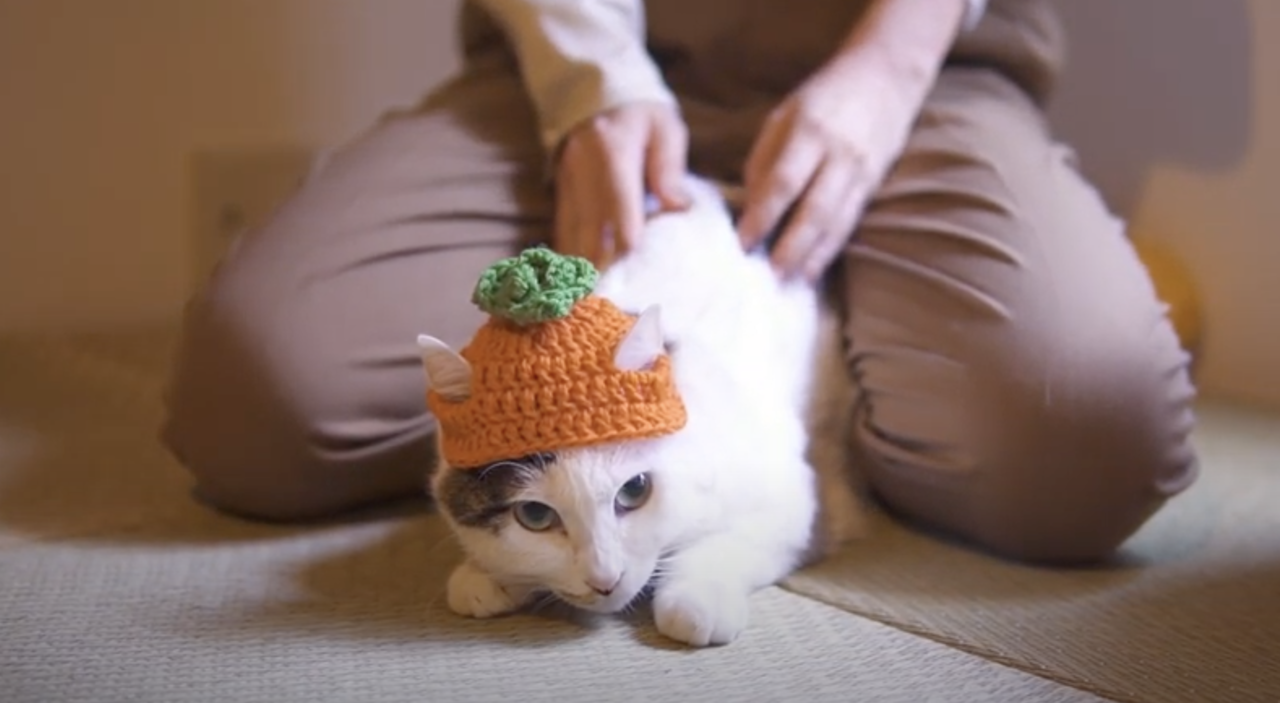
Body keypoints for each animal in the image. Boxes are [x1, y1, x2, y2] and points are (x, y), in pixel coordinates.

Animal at [414, 175, 865, 647]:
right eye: (535, 516)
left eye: (635, 490)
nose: (604, 580)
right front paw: (487, 575)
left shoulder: (788, 497)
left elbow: (737, 541)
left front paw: (698, 595)